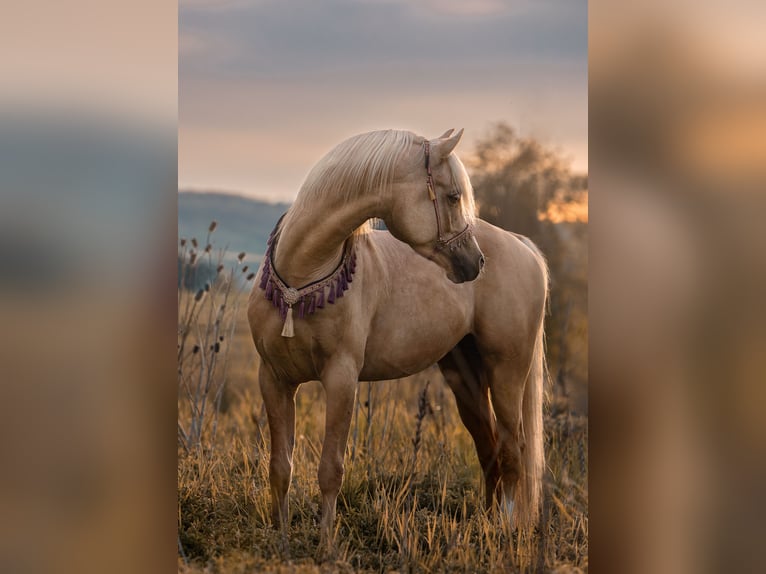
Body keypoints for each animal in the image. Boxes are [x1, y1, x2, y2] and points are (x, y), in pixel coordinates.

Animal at [249, 127, 548, 544]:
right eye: (453, 196)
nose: (476, 262)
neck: (299, 279)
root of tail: (521, 244)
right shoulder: (274, 380)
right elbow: (280, 467)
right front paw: (280, 540)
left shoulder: (341, 379)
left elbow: (330, 469)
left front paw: (326, 543)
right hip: (465, 376)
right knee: (488, 448)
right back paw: (485, 525)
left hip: (507, 372)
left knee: (511, 450)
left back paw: (505, 529)